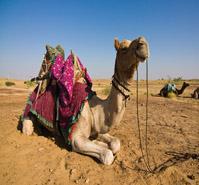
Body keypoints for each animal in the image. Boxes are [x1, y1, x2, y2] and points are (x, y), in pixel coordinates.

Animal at [22, 36, 149, 165]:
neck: (95, 111)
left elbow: (115, 144)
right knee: (27, 128)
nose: (143, 43)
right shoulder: (75, 137)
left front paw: (100, 142)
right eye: (123, 48)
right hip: (28, 114)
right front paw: (100, 145)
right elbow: (107, 155)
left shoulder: (97, 129)